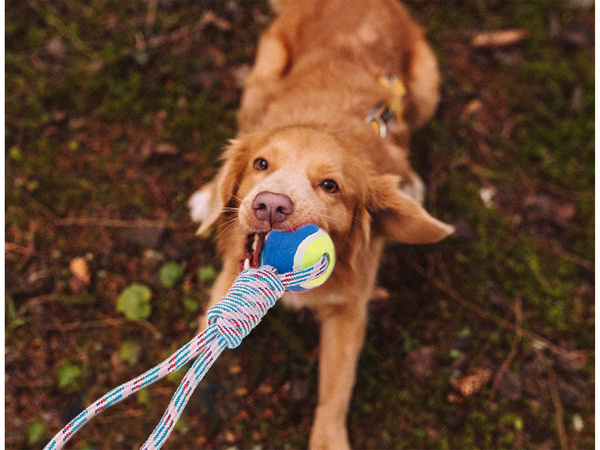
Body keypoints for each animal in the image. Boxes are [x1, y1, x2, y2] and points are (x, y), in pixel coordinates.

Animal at [190, 0, 452, 446]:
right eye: (261, 164)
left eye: (330, 186)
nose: (270, 206)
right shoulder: (232, 274)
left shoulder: (348, 311)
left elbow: (336, 387)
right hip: (261, 77)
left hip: (426, 88)